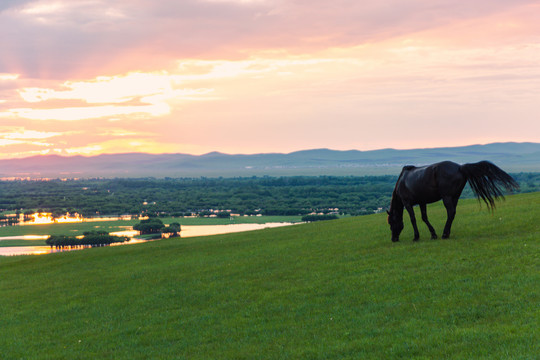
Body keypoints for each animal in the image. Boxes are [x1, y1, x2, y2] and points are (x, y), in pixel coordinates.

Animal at [388, 160, 520, 242]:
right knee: (452, 213)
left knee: (450, 212)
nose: (393, 239)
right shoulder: (422, 202)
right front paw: (433, 234)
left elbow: (413, 219)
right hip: (454, 197)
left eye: (391, 223)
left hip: (447, 197)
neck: (402, 181)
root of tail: (460, 167)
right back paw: (447, 233)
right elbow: (424, 218)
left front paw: (416, 237)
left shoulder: (407, 203)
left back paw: (444, 234)